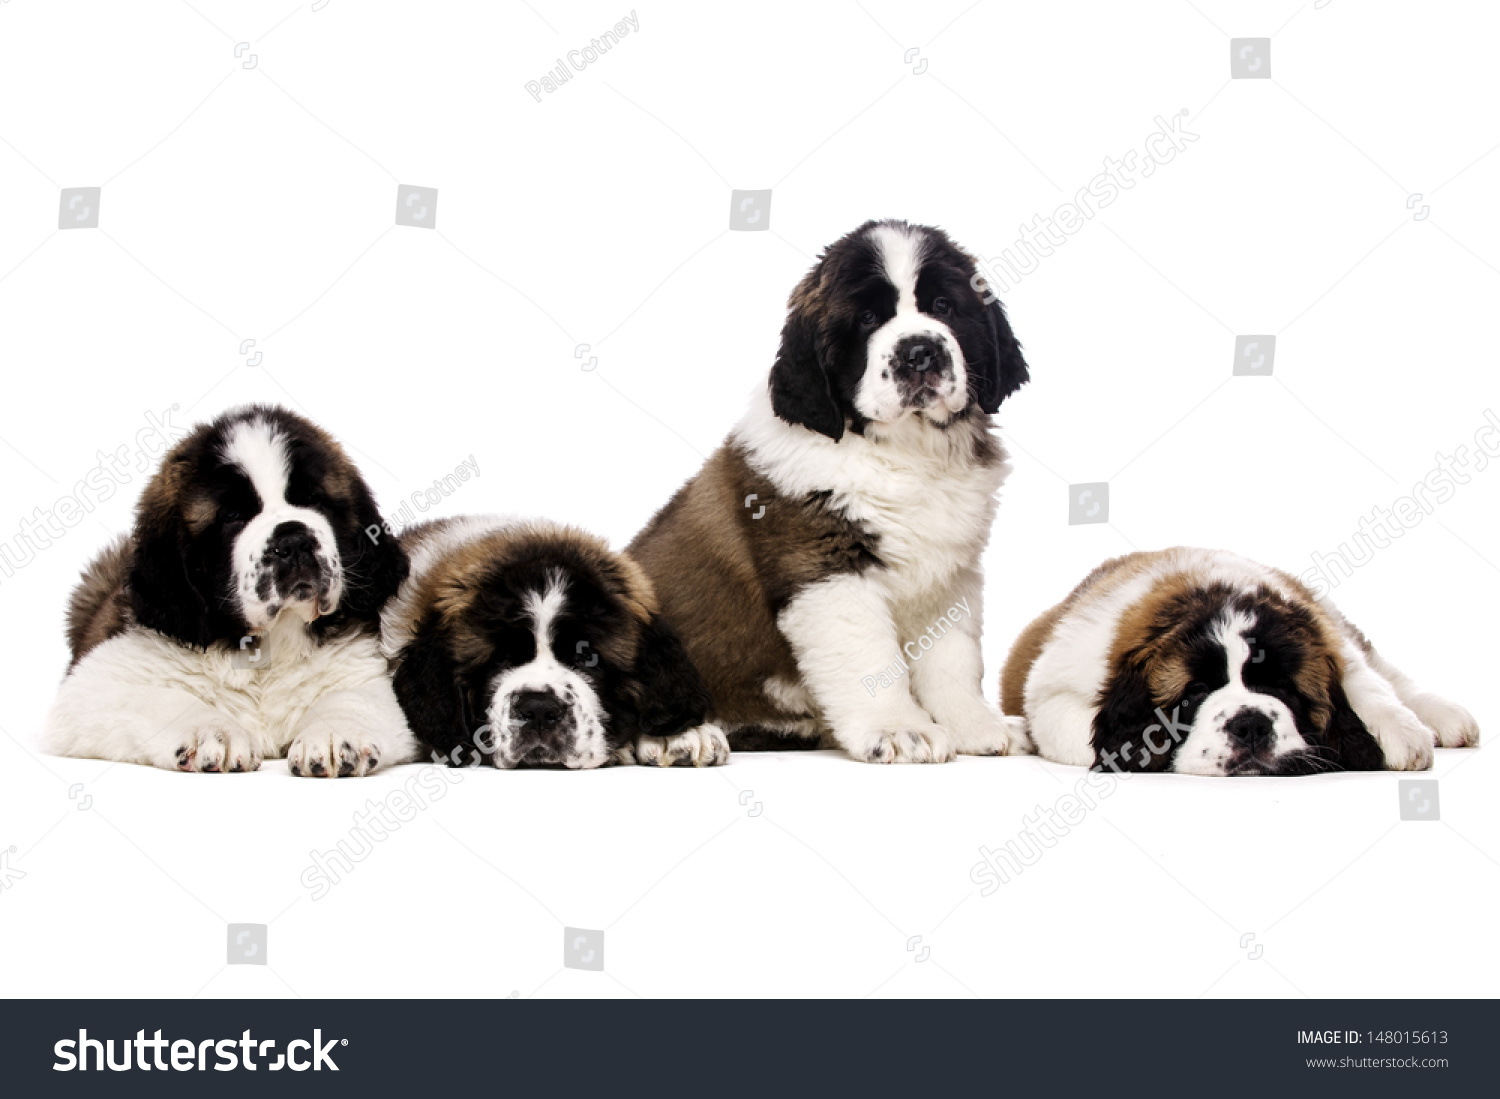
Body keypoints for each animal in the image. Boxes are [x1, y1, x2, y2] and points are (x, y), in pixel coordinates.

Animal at [45, 407, 417, 773]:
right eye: (232, 515)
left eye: (314, 501)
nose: (294, 542)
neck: (266, 646)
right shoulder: (93, 686)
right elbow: (160, 698)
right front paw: (215, 733)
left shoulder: (365, 670)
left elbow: (353, 698)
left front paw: (334, 733)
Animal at [624, 217, 1032, 758]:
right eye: (867, 318)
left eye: (944, 306)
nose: (920, 352)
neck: (904, 451)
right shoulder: (826, 566)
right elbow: (869, 656)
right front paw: (897, 728)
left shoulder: (949, 572)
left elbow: (954, 657)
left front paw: (975, 726)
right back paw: (681, 736)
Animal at [1002, 545, 1482, 773]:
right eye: (1196, 691)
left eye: (1283, 687)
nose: (1250, 724)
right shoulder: (1054, 691)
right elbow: (1086, 733)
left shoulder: (1328, 638)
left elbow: (1366, 685)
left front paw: (1400, 732)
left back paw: (1444, 717)